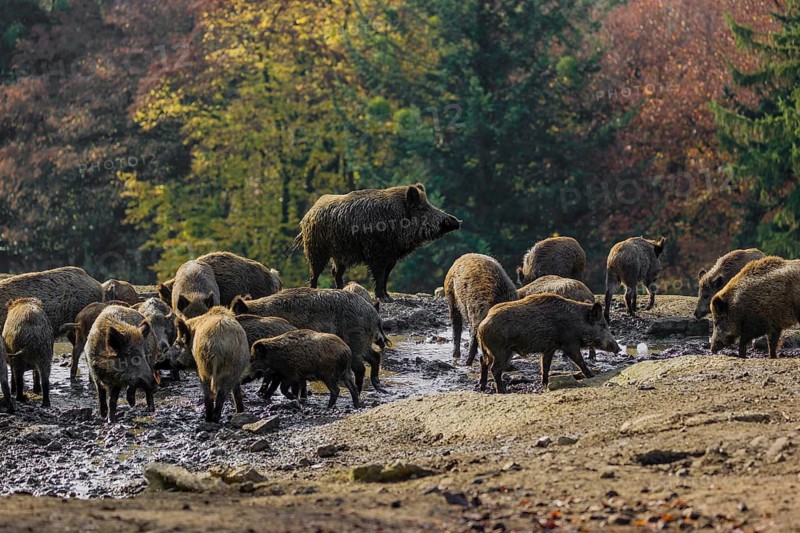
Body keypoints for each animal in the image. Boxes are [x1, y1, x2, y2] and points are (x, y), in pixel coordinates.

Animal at [230, 287, 389, 393]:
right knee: (375, 357)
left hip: (356, 341)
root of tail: (374, 315)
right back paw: (376, 384)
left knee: (361, 368)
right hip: (364, 343)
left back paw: (361, 389)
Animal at [289, 183, 461, 301]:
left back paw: (341, 290)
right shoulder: (376, 255)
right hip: (316, 249)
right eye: (423, 208)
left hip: (340, 255)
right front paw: (384, 299)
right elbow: (379, 276)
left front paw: (388, 298)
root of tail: (307, 215)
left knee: (335, 272)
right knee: (314, 272)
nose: (457, 221)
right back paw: (312, 290)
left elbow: (385, 277)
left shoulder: (391, 258)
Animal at [477, 294, 620, 392]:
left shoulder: (550, 348)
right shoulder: (569, 343)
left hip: (492, 351)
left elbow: (545, 365)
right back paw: (503, 391)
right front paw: (591, 375)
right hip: (501, 351)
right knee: (494, 368)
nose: (618, 348)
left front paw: (545, 383)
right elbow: (579, 360)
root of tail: (481, 327)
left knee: (483, 361)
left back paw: (482, 387)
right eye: (602, 325)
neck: (577, 323)